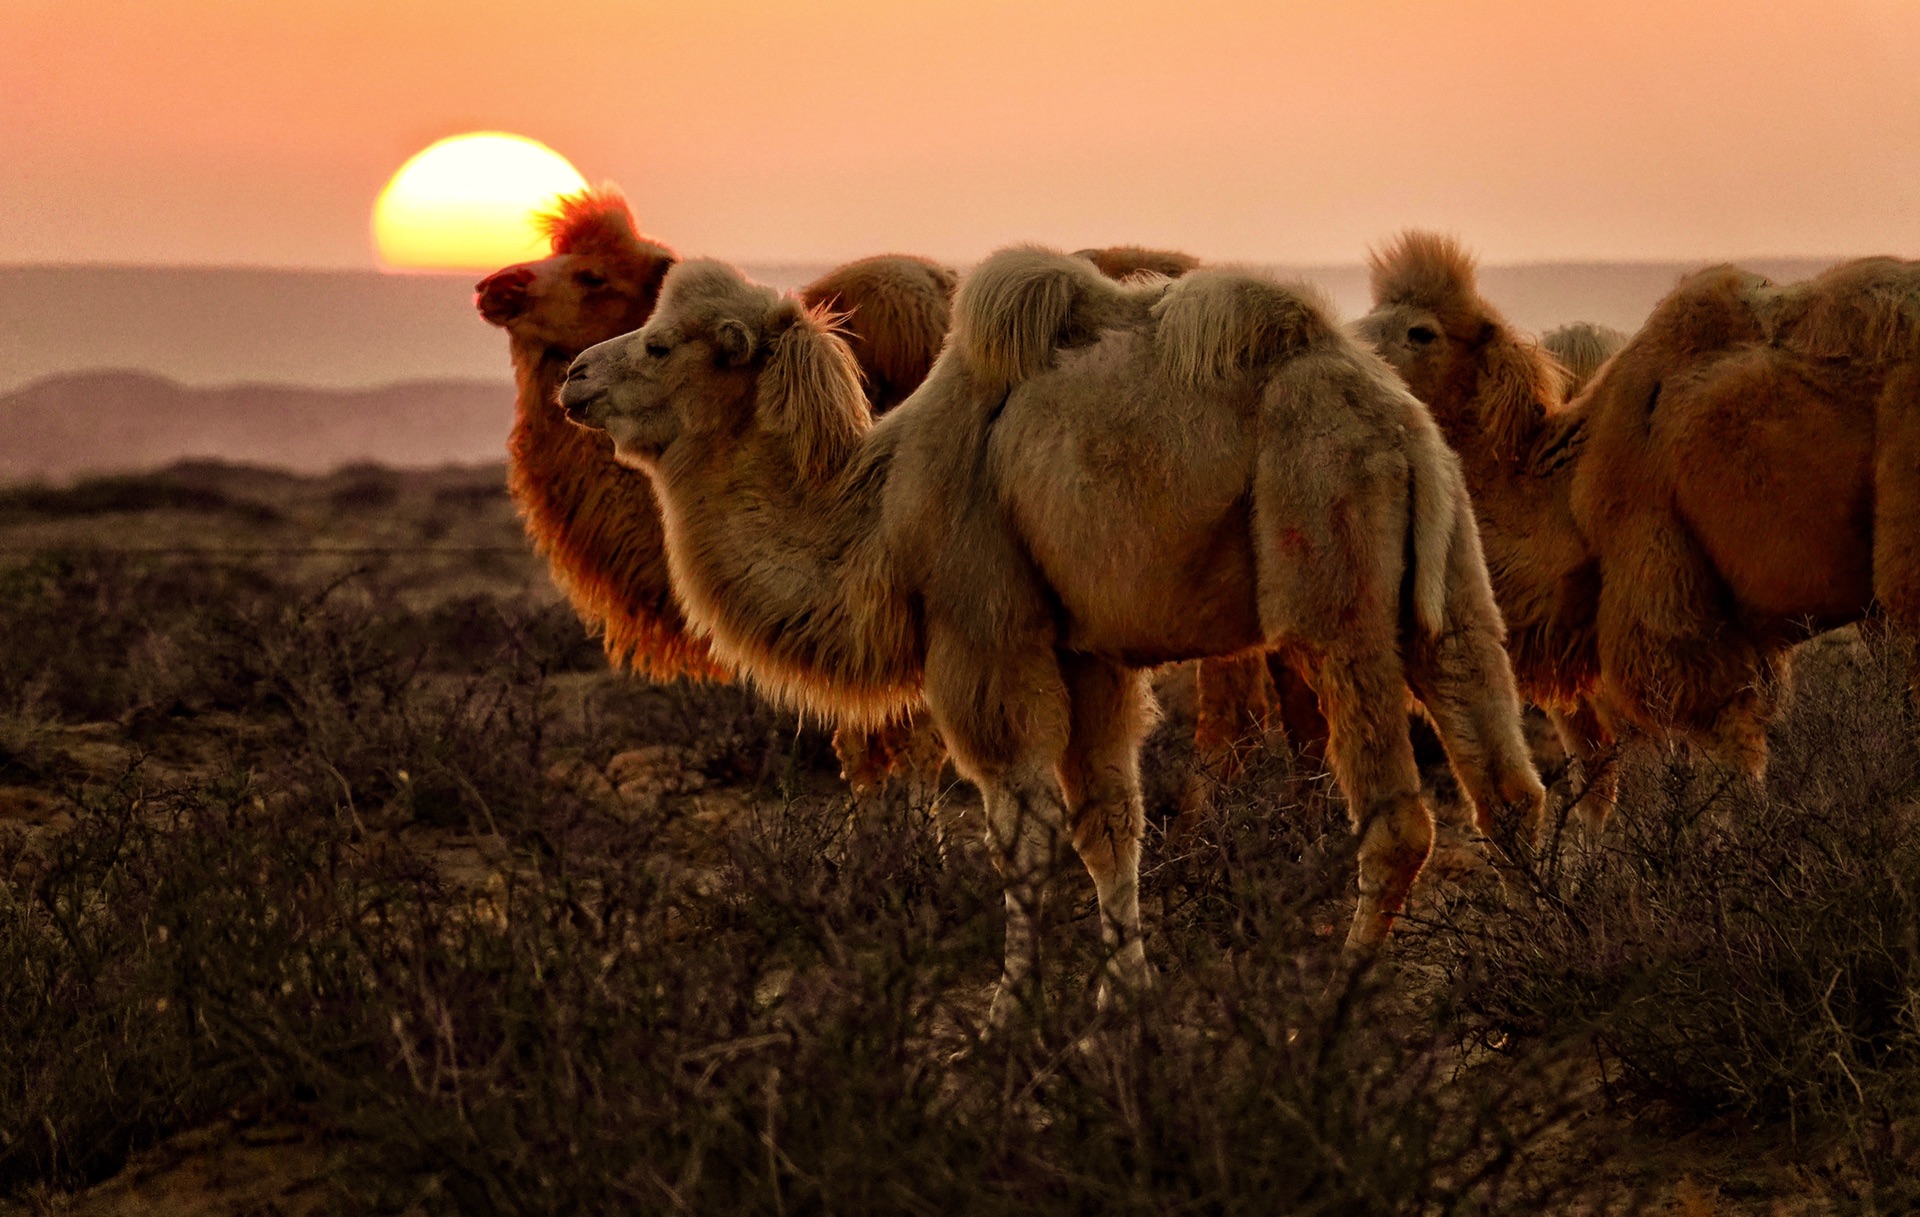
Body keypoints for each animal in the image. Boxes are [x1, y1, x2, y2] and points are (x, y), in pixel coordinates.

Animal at [560, 245, 1543, 1013]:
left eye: (657, 343)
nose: (575, 376)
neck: (878, 515)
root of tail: (1395, 419)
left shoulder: (984, 636)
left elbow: (1021, 835)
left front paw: (1007, 1020)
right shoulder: (1087, 652)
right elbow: (1109, 823)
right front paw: (1120, 1006)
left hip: (1328, 557)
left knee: (1399, 815)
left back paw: (1331, 1015)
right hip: (1449, 582)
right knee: (1504, 779)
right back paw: (1537, 957)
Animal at [1359, 232, 1920, 810]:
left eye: (1421, 331)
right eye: (1368, 318)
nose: (1358, 355)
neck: (1569, 486)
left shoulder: (1667, 607)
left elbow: (1718, 767)